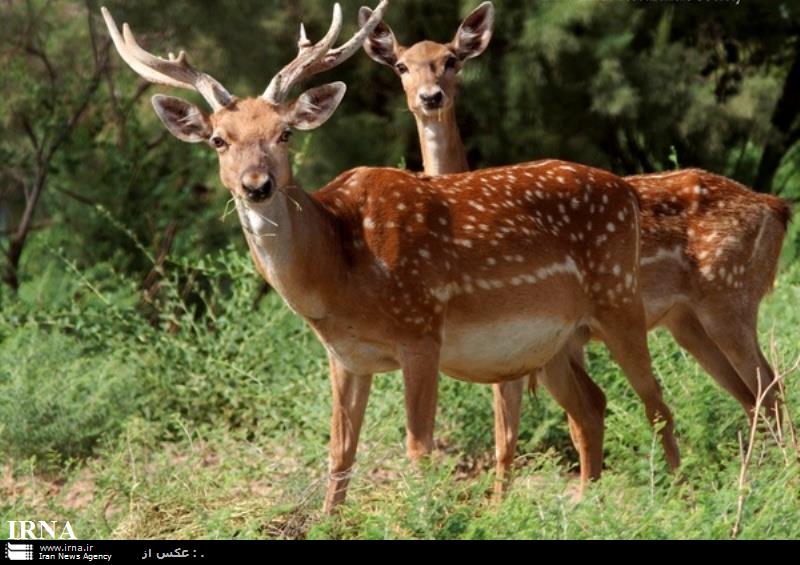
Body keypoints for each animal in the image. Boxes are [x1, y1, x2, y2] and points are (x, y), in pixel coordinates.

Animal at [103, 1, 680, 512]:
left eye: (285, 133)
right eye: (219, 140)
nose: (257, 185)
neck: (338, 273)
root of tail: (626, 191)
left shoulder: (421, 329)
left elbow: (419, 448)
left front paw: (422, 518)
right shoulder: (344, 356)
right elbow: (340, 452)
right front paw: (329, 523)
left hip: (619, 297)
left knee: (656, 405)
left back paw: (673, 500)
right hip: (552, 341)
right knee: (592, 408)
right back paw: (585, 503)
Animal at [360, 0, 792, 494]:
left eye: (451, 59)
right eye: (401, 65)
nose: (430, 97)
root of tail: (777, 208)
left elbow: (530, 429)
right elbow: (524, 430)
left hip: (729, 297)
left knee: (768, 387)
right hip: (688, 321)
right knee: (750, 395)